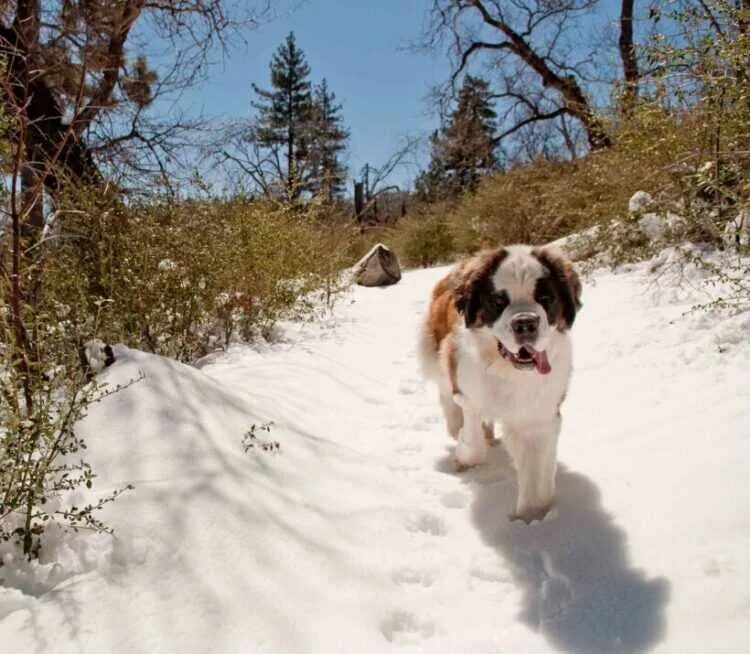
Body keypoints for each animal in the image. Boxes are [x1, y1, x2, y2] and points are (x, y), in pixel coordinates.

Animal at [420, 245, 584, 524]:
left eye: (545, 297)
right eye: (498, 302)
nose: (525, 322)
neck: (507, 370)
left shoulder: (537, 418)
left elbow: (535, 476)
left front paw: (530, 520)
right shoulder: (468, 388)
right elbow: (472, 438)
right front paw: (465, 456)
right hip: (436, 352)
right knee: (445, 393)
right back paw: (457, 424)